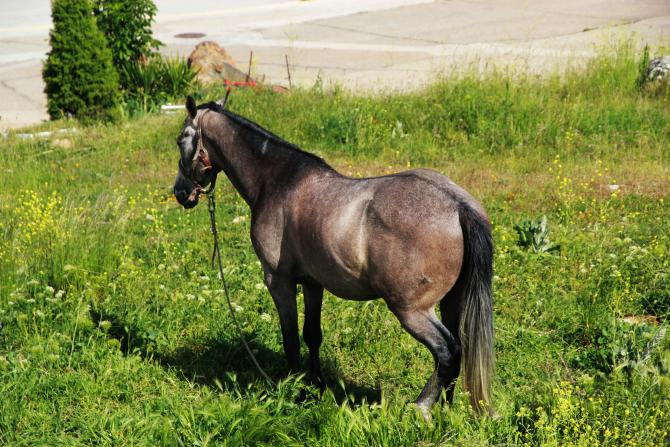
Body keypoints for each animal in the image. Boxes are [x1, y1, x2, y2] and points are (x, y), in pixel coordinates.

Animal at [172, 96, 494, 416]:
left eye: (180, 140)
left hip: (412, 311)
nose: (180, 193)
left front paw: (296, 390)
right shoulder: (312, 283)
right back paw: (446, 408)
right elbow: (311, 335)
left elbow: (290, 338)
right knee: (459, 349)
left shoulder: (278, 281)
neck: (277, 180)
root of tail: (457, 206)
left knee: (447, 351)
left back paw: (421, 408)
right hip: (451, 302)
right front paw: (317, 386)